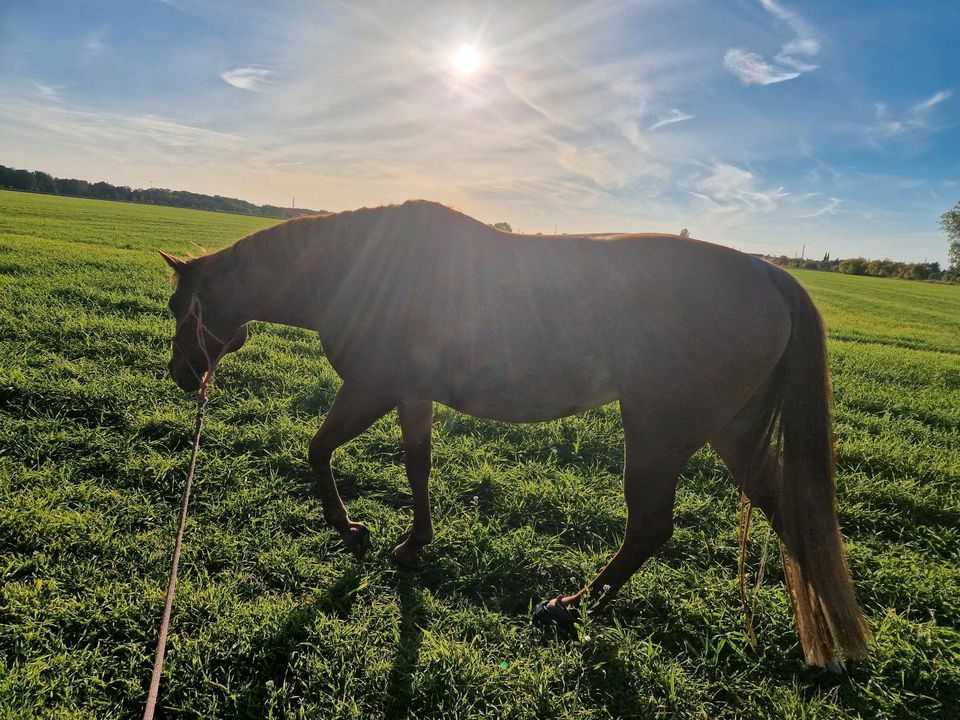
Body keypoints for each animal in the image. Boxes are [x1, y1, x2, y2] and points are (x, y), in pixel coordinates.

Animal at [163, 198, 872, 668]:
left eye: (178, 307)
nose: (181, 375)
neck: (358, 269)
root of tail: (768, 273)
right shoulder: (411, 395)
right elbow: (417, 464)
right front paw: (412, 544)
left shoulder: (370, 389)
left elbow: (318, 450)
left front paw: (353, 531)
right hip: (731, 432)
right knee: (791, 514)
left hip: (658, 431)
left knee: (649, 526)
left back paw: (570, 606)